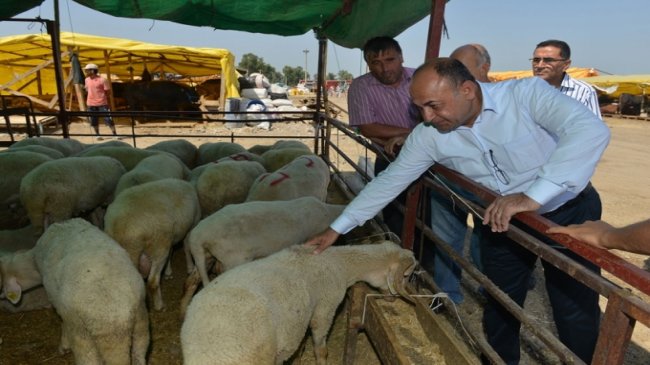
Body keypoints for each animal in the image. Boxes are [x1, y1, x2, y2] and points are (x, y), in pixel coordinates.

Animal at [0, 218, 148, 362]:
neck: (33, 263)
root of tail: (114, 319)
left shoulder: (61, 308)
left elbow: (63, 323)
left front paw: (64, 346)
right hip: (140, 323)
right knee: (139, 353)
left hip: (81, 333)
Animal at [104, 178, 200, 308]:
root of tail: (121, 226)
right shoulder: (191, 226)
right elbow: (186, 247)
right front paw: (189, 268)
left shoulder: (171, 237)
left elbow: (172, 252)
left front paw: (168, 272)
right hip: (159, 246)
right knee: (153, 281)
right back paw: (159, 305)